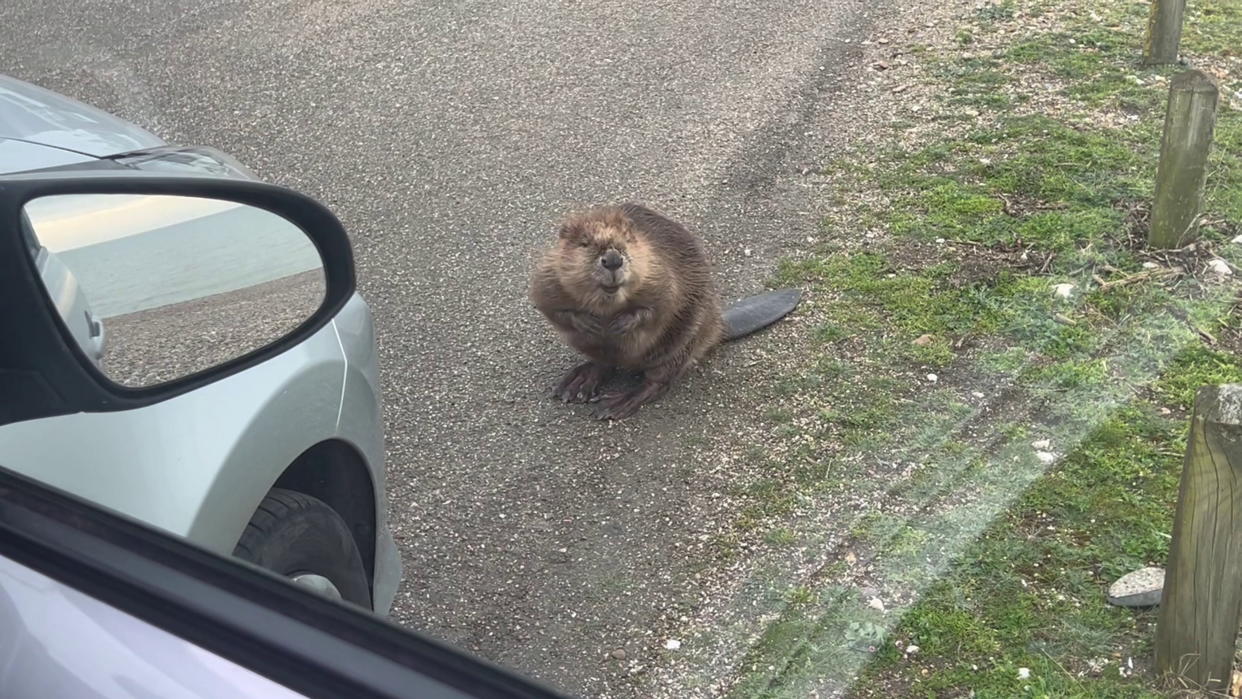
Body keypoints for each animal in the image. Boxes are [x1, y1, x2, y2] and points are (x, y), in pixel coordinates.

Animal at [529, 202, 799, 422]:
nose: (613, 260)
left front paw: (620, 324)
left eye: (626, 244)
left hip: (681, 343)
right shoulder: (548, 276)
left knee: (658, 381)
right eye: (584, 244)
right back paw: (576, 385)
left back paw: (615, 404)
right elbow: (550, 307)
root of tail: (720, 326)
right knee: (604, 363)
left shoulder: (660, 269)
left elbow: (661, 306)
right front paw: (590, 323)